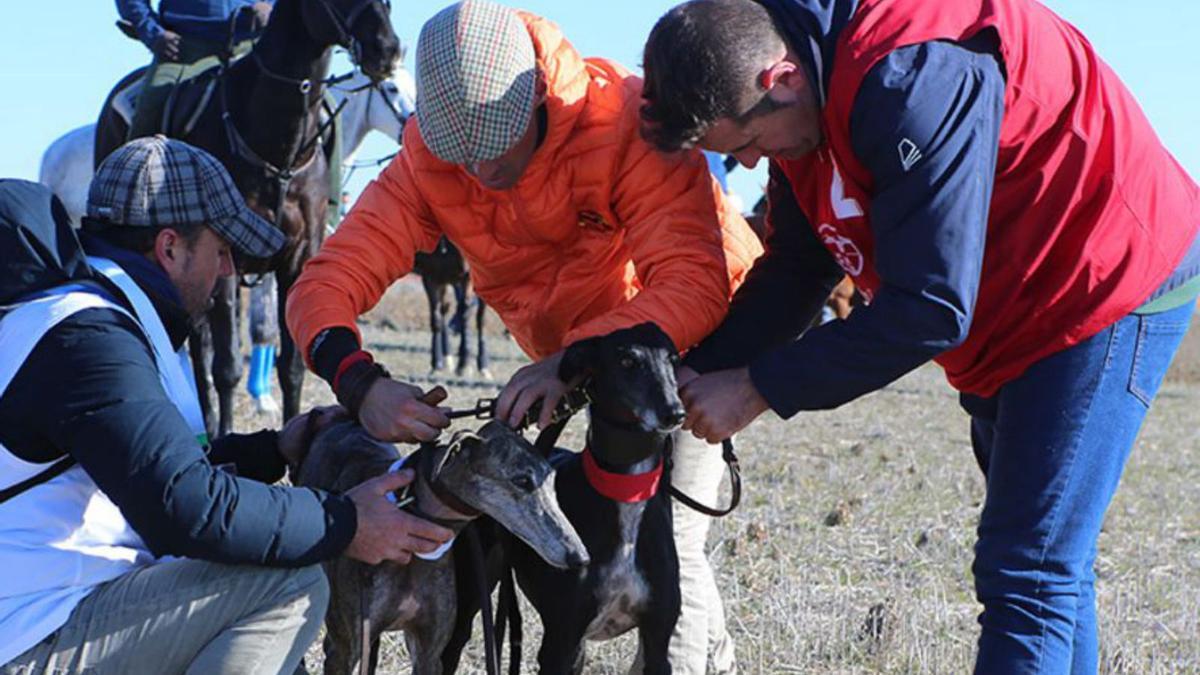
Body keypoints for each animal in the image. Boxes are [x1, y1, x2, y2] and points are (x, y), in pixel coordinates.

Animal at [93, 0, 400, 437]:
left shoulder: (297, 261)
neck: (275, 143)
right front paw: (224, 432)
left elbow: (291, 365)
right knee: (202, 355)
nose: (386, 49)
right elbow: (226, 367)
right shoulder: (223, 262)